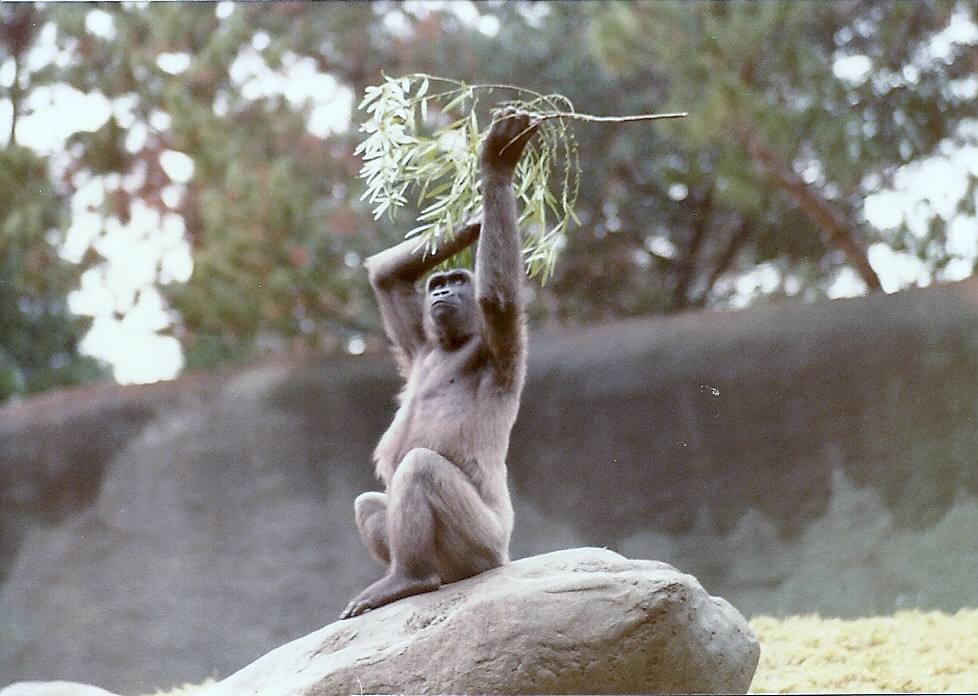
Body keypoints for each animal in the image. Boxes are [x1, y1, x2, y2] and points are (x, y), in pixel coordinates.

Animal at [340, 110, 537, 619]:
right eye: (437, 284)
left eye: (458, 281)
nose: (443, 290)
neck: (453, 341)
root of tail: (504, 558)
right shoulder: (418, 341)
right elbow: (386, 278)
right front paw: (472, 220)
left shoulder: (500, 338)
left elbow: (498, 298)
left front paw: (497, 166)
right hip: (458, 562)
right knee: (370, 502)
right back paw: (415, 579)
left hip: (484, 547)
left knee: (420, 468)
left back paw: (410, 577)